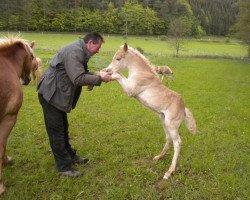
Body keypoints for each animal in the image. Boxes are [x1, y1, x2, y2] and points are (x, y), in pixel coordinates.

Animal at [106, 43, 196, 181]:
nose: (107, 70)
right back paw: (159, 156)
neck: (141, 72)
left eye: (118, 58)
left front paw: (108, 75)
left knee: (177, 143)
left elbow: (118, 76)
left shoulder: (130, 90)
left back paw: (169, 172)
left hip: (172, 124)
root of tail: (183, 107)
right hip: (164, 121)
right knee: (169, 138)